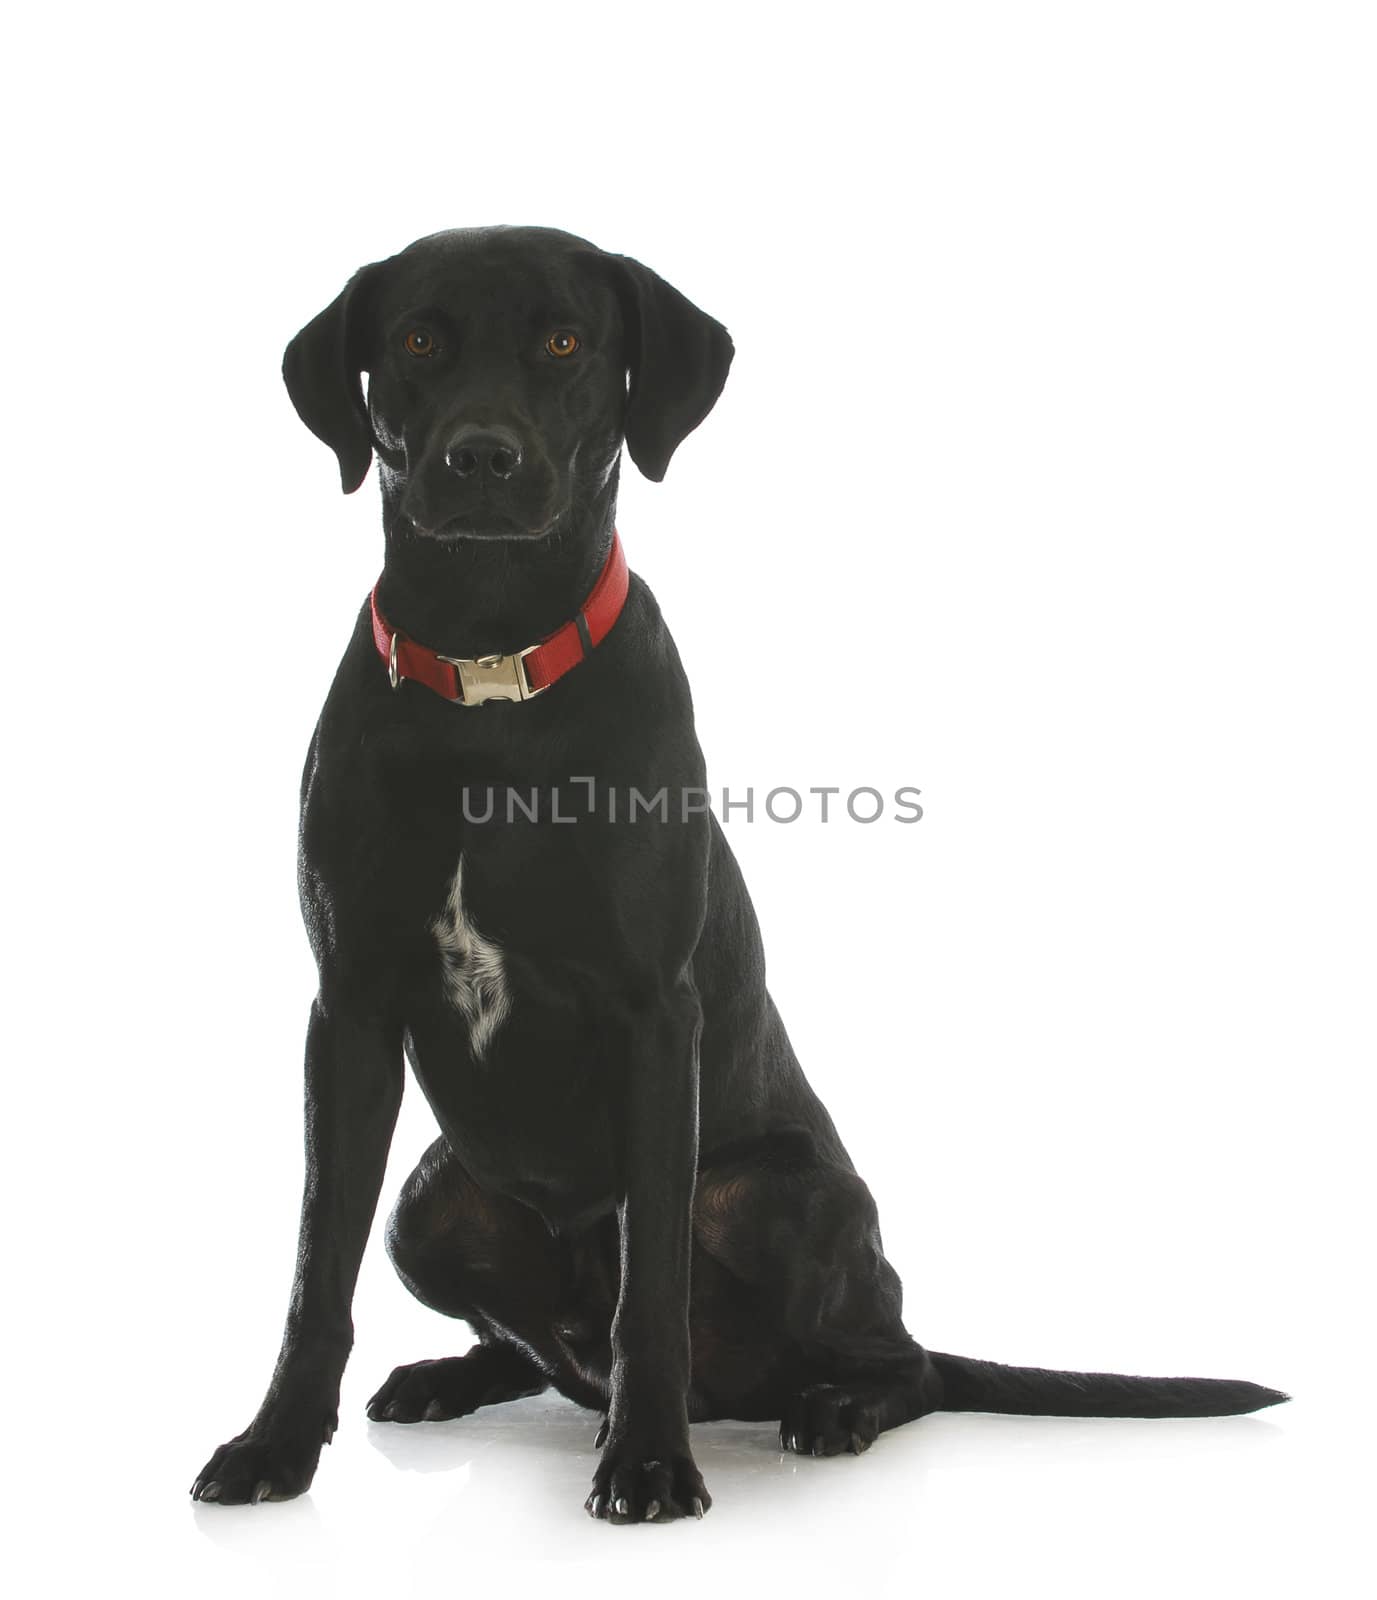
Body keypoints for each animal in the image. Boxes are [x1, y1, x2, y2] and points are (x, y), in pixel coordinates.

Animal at [187, 228, 1285, 1523]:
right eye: (416, 340)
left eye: (567, 339)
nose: (481, 456)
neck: (489, 673)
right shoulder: (349, 1010)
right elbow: (318, 1266)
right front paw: (273, 1446)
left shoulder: (656, 1018)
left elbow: (650, 1286)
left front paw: (649, 1464)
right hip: (434, 1199)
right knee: (540, 1345)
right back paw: (456, 1376)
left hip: (780, 1194)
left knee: (894, 1361)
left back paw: (830, 1406)